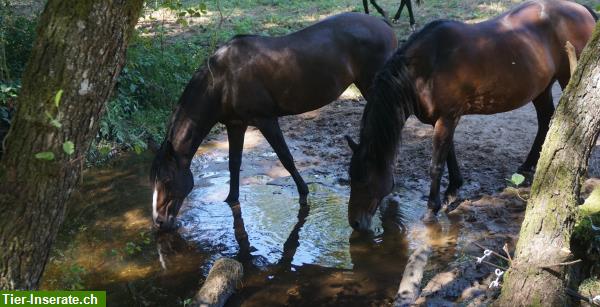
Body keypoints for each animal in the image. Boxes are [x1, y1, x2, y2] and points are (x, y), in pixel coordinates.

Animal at [149, 13, 398, 232]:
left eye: (167, 180)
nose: (159, 222)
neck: (222, 81)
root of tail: (384, 25)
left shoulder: (266, 120)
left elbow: (285, 158)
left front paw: (304, 194)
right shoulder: (236, 124)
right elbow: (234, 163)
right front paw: (231, 198)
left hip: (373, 87)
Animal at [344, 0, 596, 231]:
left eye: (364, 180)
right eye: (350, 176)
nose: (355, 223)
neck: (425, 69)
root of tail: (581, 9)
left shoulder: (447, 118)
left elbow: (436, 164)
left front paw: (431, 209)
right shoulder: (442, 120)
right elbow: (449, 155)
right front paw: (452, 191)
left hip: (569, 76)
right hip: (541, 88)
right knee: (545, 120)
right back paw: (527, 166)